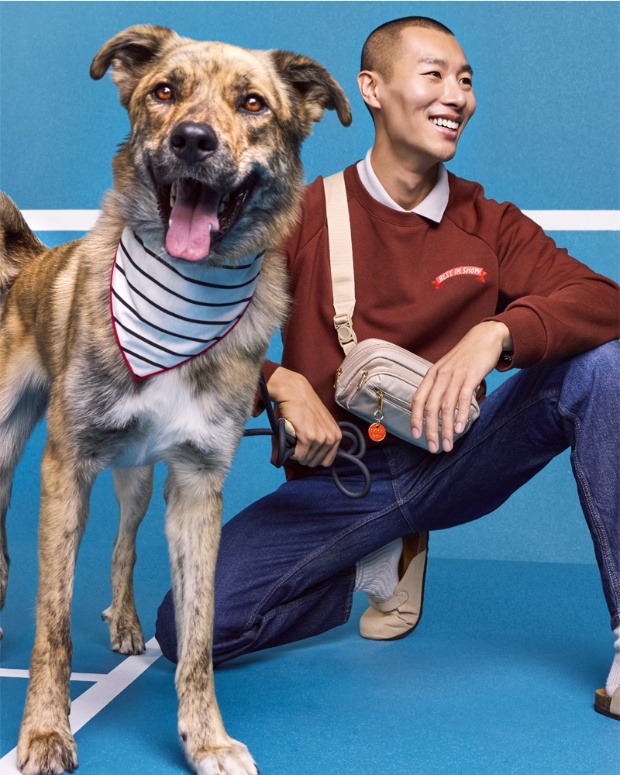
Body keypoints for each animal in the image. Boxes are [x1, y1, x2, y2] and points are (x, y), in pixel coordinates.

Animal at [0, 24, 348, 775]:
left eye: (253, 103)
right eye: (164, 91)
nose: (193, 140)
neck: (182, 300)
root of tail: (33, 262)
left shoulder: (196, 486)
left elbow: (197, 635)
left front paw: (205, 737)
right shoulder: (64, 471)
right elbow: (52, 621)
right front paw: (42, 732)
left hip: (134, 479)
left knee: (124, 548)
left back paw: (127, 623)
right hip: (4, 452)